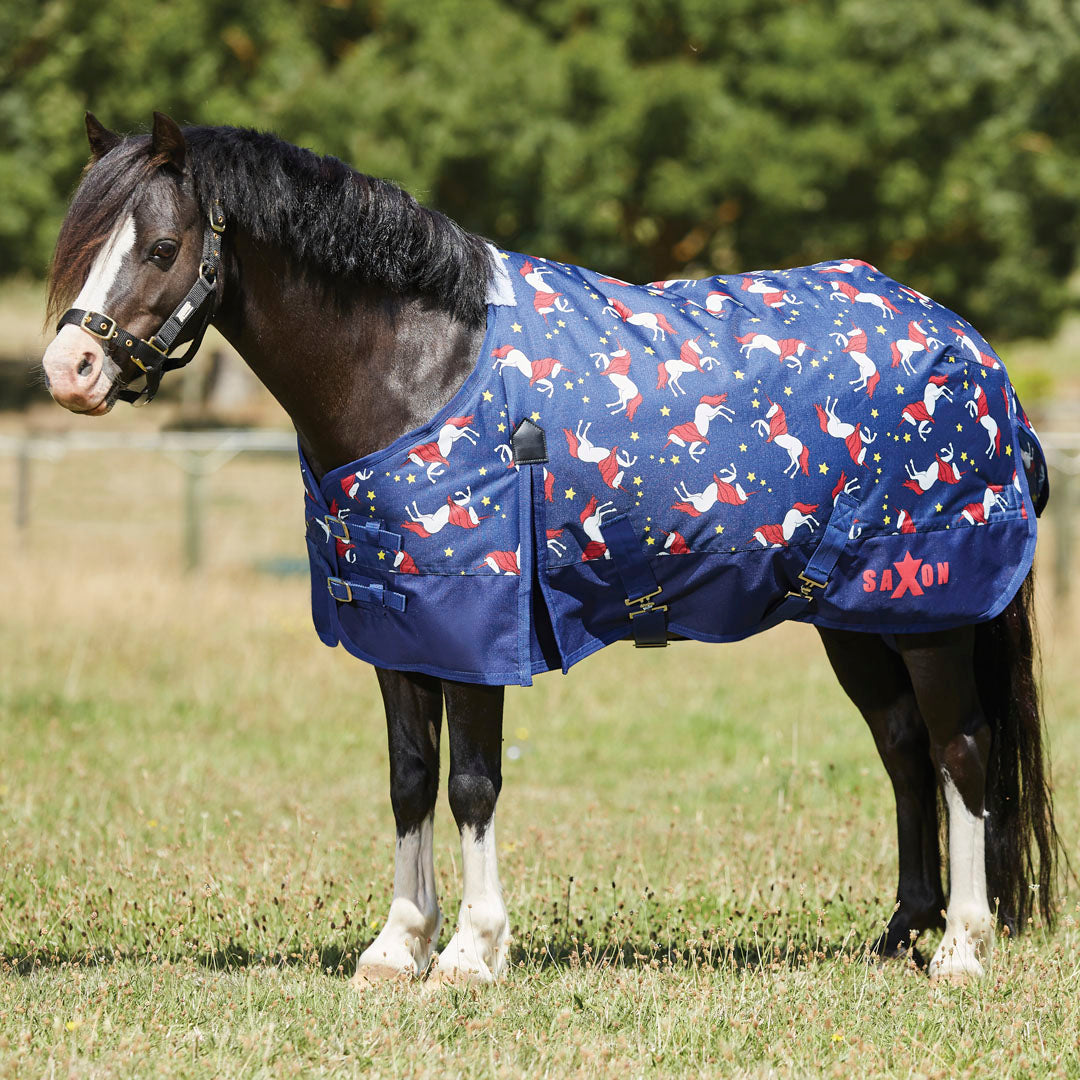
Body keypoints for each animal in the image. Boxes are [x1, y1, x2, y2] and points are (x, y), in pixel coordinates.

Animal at [40, 113, 1060, 985]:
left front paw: (469, 952)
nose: (68, 371)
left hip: (931, 608)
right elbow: (410, 779)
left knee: (961, 750)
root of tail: (971, 348)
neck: (419, 368)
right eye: (80, 247)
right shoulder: (397, 621)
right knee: (904, 749)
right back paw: (901, 933)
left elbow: (472, 783)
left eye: (160, 250)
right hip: (856, 616)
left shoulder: (478, 620)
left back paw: (961, 949)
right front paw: (397, 946)